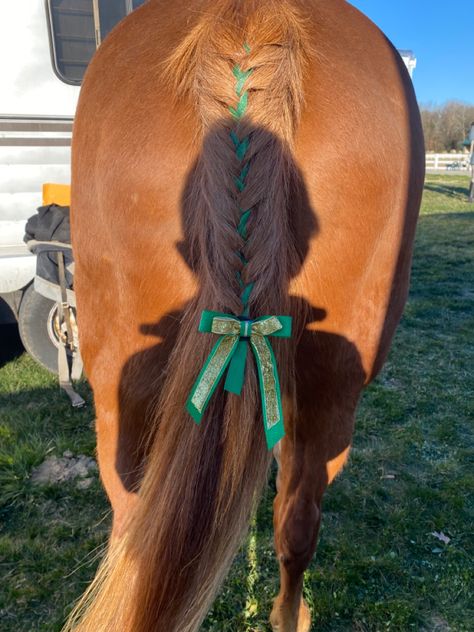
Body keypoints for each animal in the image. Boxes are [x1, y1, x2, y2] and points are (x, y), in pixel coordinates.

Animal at [65, 1, 422, 632]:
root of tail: (249, 22)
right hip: (332, 382)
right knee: (296, 518)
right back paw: (289, 614)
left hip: (121, 379)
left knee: (138, 521)